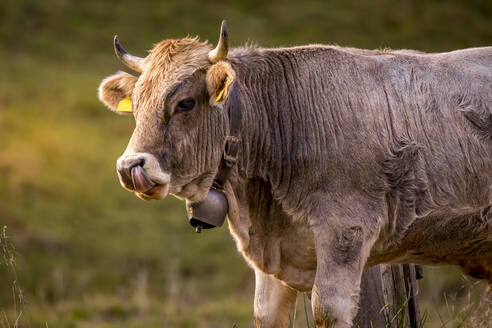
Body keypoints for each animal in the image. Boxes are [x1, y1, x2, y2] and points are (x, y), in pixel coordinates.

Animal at [97, 21, 492, 328]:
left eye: (186, 103)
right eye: (137, 105)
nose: (130, 167)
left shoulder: (345, 233)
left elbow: (328, 310)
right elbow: (265, 315)